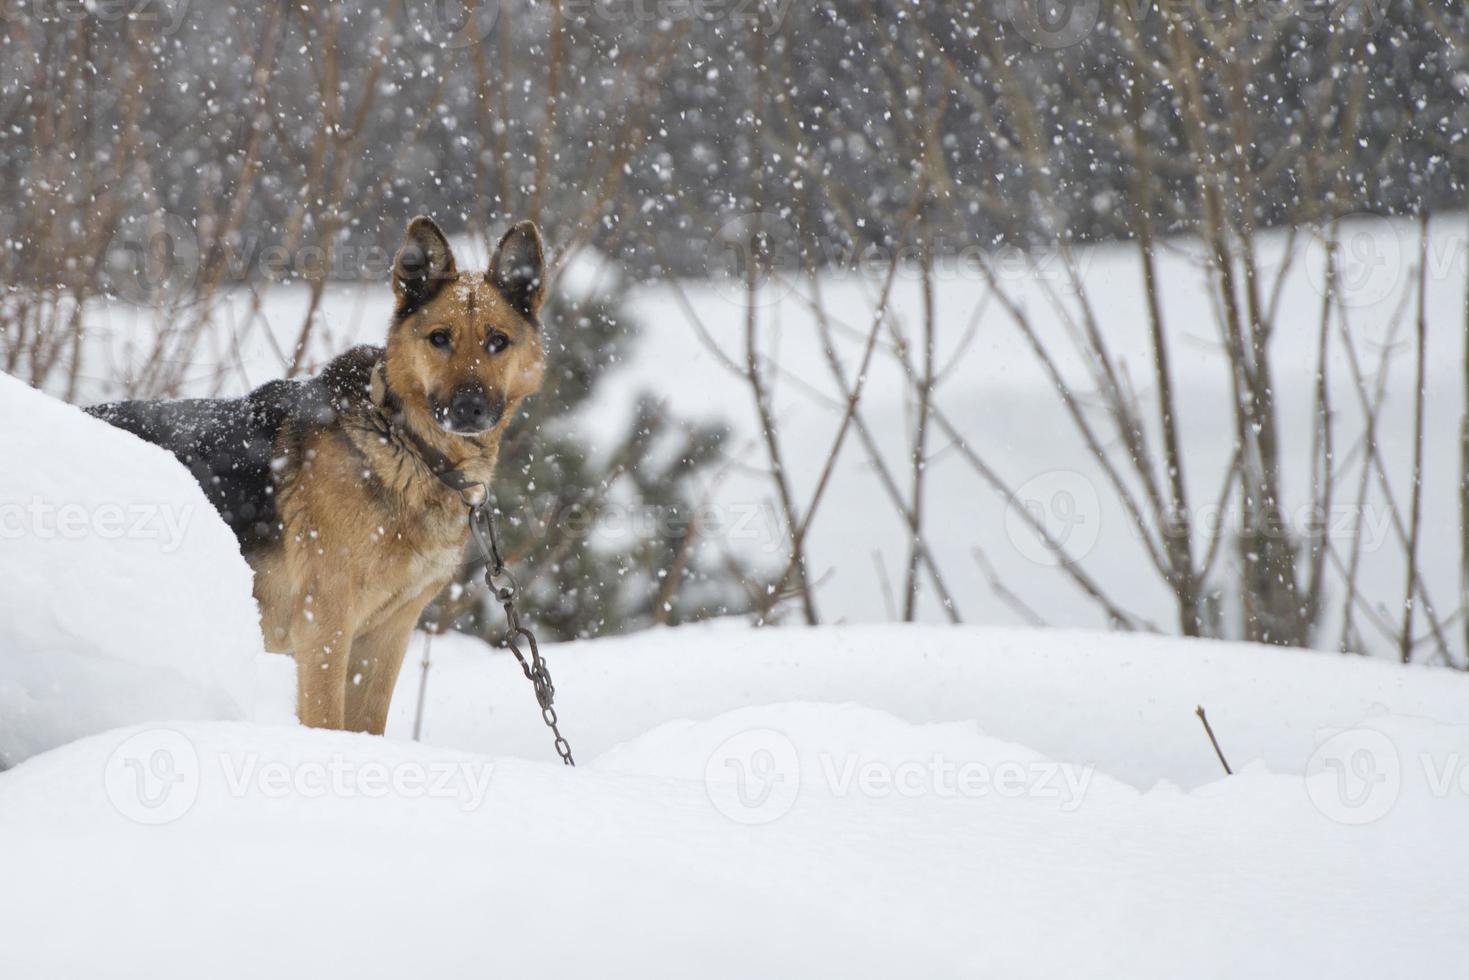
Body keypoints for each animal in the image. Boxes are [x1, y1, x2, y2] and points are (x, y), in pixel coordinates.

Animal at [91, 218, 552, 731]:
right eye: (439, 338)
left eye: (498, 342)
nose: (469, 409)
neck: (405, 444)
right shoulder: (325, 625)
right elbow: (327, 720)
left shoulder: (387, 635)